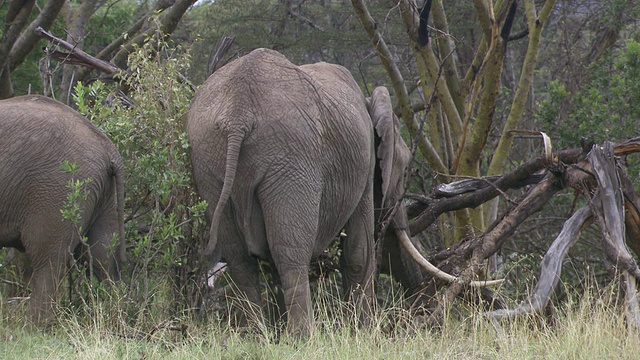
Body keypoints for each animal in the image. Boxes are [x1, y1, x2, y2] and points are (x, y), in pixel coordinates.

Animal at [0, 95, 126, 324]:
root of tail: (108, 147)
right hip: (100, 193)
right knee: (101, 256)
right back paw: (115, 315)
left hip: (58, 191)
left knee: (48, 261)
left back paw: (31, 326)